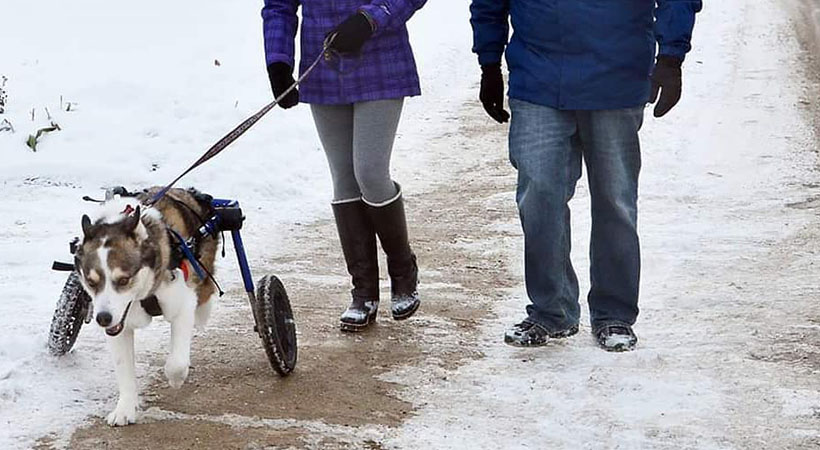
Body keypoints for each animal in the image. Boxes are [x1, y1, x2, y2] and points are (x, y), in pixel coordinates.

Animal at [74, 186, 219, 426]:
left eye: (124, 280)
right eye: (91, 282)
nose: (102, 318)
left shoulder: (182, 303)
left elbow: (176, 362)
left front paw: (175, 378)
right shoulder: (118, 326)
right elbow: (124, 368)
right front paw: (124, 408)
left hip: (202, 263)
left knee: (206, 289)